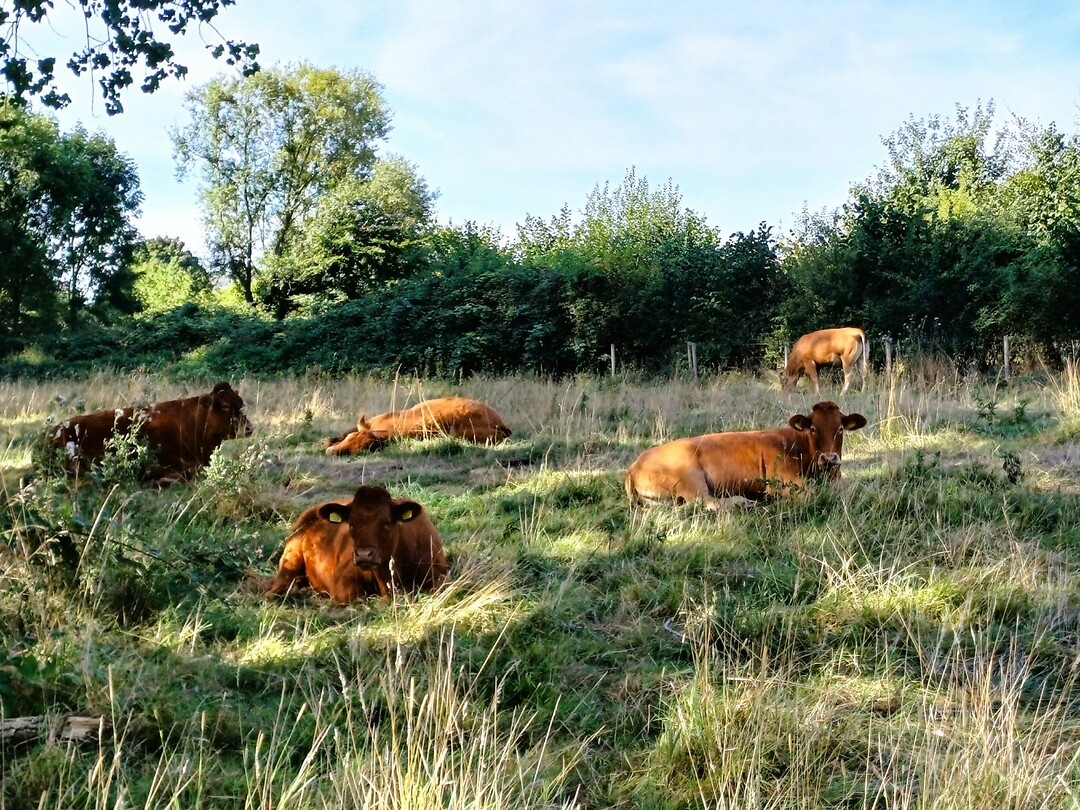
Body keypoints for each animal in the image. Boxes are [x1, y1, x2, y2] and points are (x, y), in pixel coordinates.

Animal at [624, 401, 867, 508]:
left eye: (841, 429)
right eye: (813, 429)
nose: (830, 458)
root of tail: (633, 465)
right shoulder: (785, 481)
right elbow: (810, 494)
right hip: (690, 477)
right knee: (708, 502)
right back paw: (743, 502)